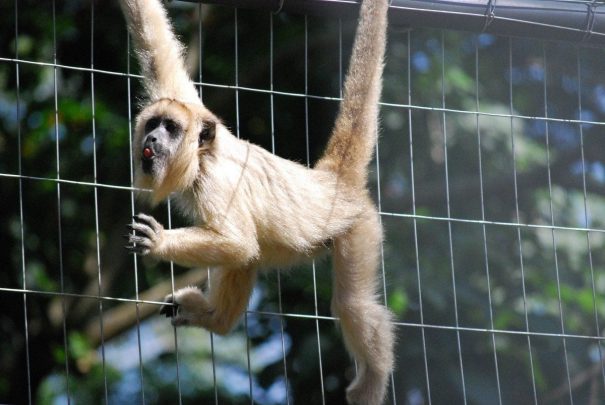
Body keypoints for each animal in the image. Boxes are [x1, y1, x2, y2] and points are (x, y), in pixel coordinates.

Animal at [118, 0, 394, 400]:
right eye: (154, 123)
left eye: (170, 128)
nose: (152, 139)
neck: (202, 155)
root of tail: (331, 183)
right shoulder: (190, 105)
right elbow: (155, 42)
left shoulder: (216, 181)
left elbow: (238, 241)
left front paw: (160, 243)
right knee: (246, 260)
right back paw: (213, 319)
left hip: (359, 227)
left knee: (350, 304)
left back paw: (371, 381)